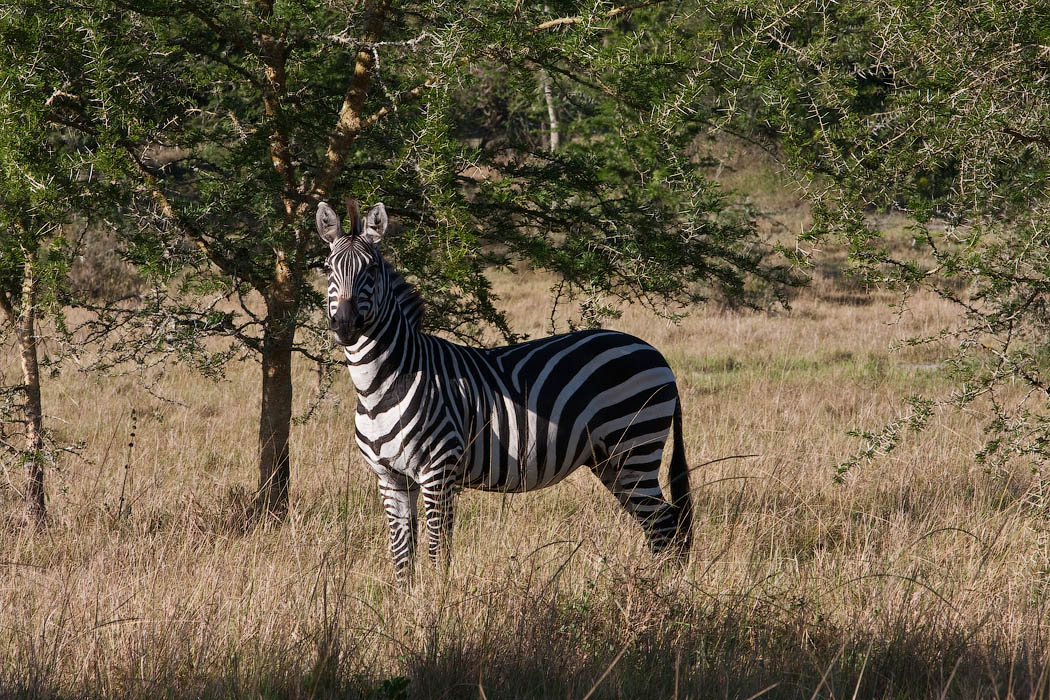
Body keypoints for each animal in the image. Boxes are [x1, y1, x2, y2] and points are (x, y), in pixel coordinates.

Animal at [319, 198, 697, 579]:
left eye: (371, 270)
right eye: (326, 269)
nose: (345, 326)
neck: (381, 386)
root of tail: (654, 351)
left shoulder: (438, 470)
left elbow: (438, 551)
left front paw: (437, 595)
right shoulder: (391, 478)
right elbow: (401, 556)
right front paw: (407, 595)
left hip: (635, 444)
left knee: (665, 523)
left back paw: (661, 588)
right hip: (610, 459)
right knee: (660, 524)